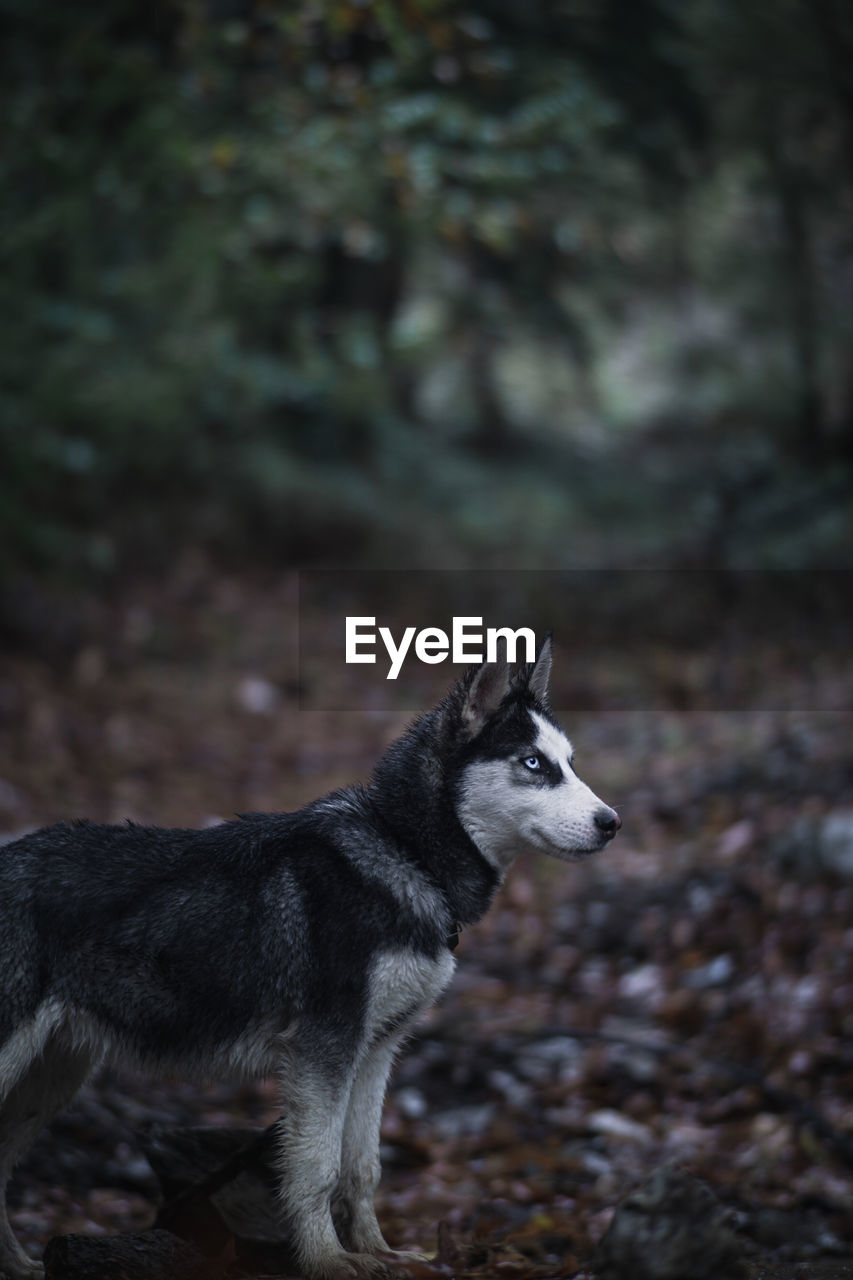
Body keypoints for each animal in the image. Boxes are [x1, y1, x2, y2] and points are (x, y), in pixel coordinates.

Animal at [3, 640, 622, 1280]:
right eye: (533, 763)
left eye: (570, 762)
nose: (612, 823)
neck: (406, 852)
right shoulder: (323, 1049)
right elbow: (317, 1167)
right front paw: (327, 1259)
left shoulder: (375, 1050)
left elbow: (362, 1167)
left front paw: (379, 1251)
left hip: (53, 1073)